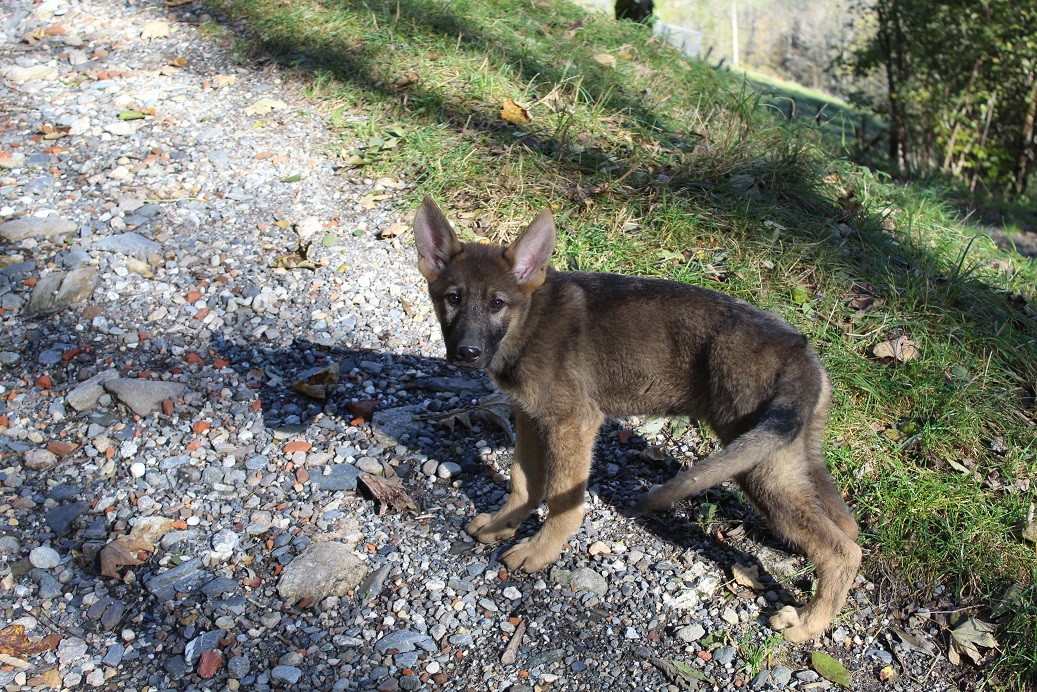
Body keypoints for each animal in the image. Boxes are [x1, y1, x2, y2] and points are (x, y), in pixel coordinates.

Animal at [410, 196, 858, 643]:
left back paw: (807, 624)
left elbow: (561, 501)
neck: (528, 321)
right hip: (791, 455)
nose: (466, 353)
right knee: (846, 526)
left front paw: (541, 550)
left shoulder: (573, 423)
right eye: (453, 297)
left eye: (497, 304)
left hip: (763, 466)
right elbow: (524, 481)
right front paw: (504, 523)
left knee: (843, 551)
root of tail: (801, 352)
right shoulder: (529, 417)